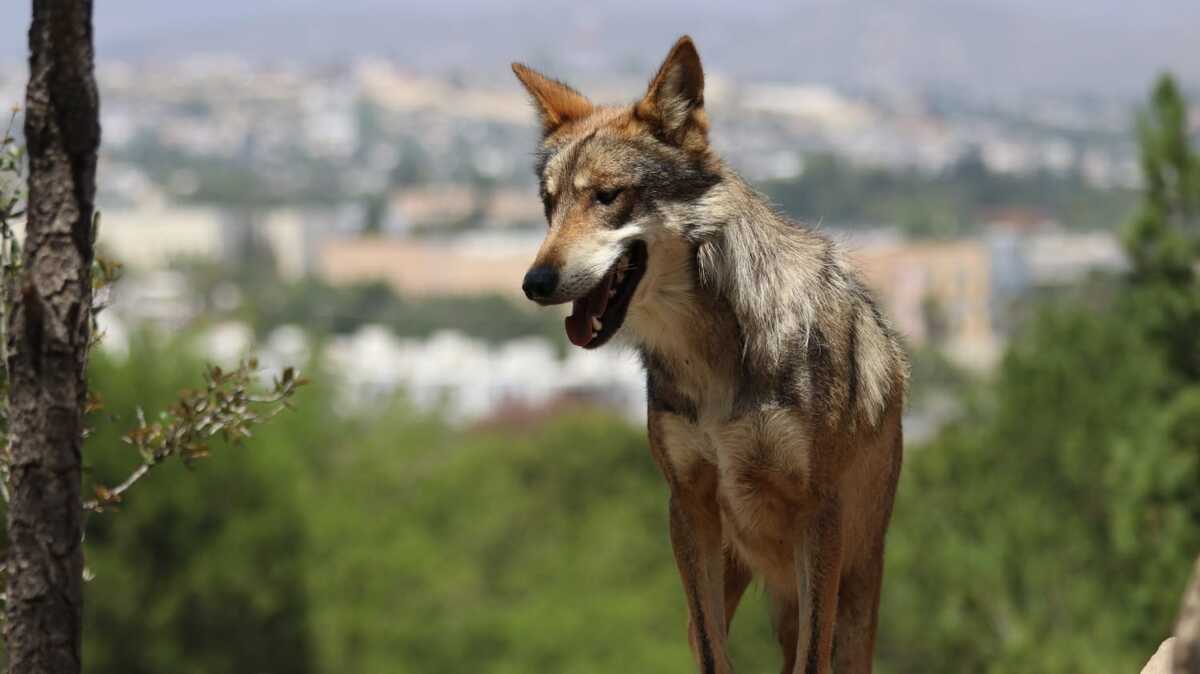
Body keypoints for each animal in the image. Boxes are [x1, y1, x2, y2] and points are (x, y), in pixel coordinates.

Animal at [513, 36, 908, 674]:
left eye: (607, 196)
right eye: (549, 206)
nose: (535, 282)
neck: (712, 354)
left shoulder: (818, 512)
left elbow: (808, 662)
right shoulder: (687, 505)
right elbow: (714, 649)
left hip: (851, 596)